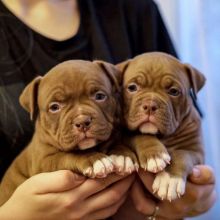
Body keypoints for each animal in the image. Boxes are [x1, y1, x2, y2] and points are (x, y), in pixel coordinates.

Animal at [0, 59, 127, 205]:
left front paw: (122, 155)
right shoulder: (43, 163)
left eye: (99, 96)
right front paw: (94, 159)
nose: (82, 121)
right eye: (54, 107)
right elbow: (66, 156)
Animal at [117, 51, 205, 201]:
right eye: (132, 87)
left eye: (174, 91)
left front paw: (169, 179)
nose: (150, 105)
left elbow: (182, 155)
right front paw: (154, 155)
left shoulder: (197, 152)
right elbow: (140, 135)